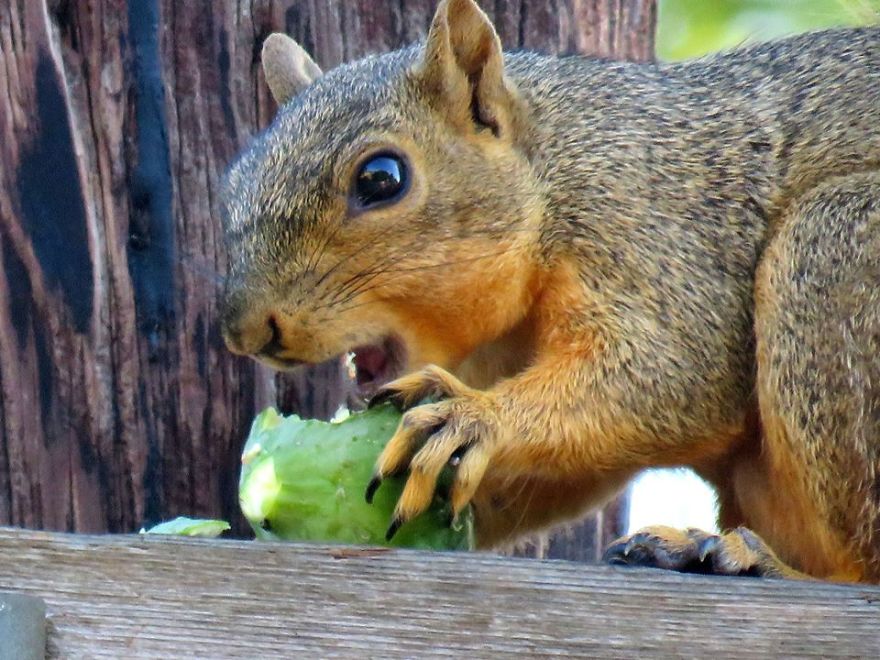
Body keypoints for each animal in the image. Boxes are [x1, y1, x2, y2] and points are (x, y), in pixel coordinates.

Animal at [219, 0, 880, 583]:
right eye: (232, 183)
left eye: (381, 179)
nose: (247, 331)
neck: (556, 173)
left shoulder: (658, 236)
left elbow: (675, 375)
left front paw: (469, 418)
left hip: (831, 248)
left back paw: (759, 561)